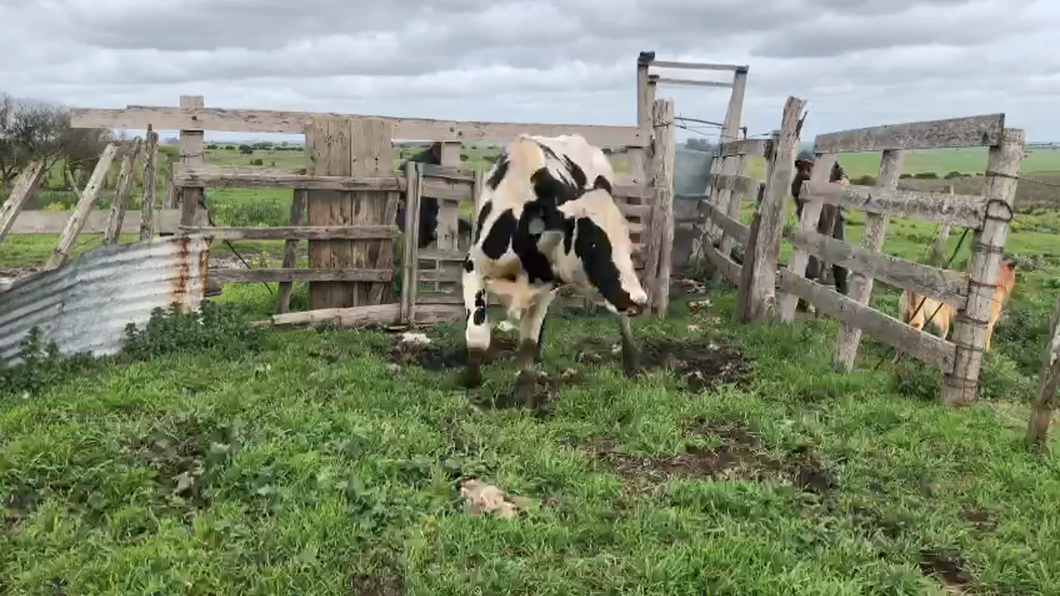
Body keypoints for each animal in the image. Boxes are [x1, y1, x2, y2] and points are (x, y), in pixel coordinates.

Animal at [462, 134, 644, 400]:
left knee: (621, 319)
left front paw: (524, 392)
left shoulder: (548, 287)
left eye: (627, 240)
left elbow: (527, 342)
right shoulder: (472, 269)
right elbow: (476, 334)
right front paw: (472, 380)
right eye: (591, 242)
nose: (639, 300)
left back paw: (631, 362)